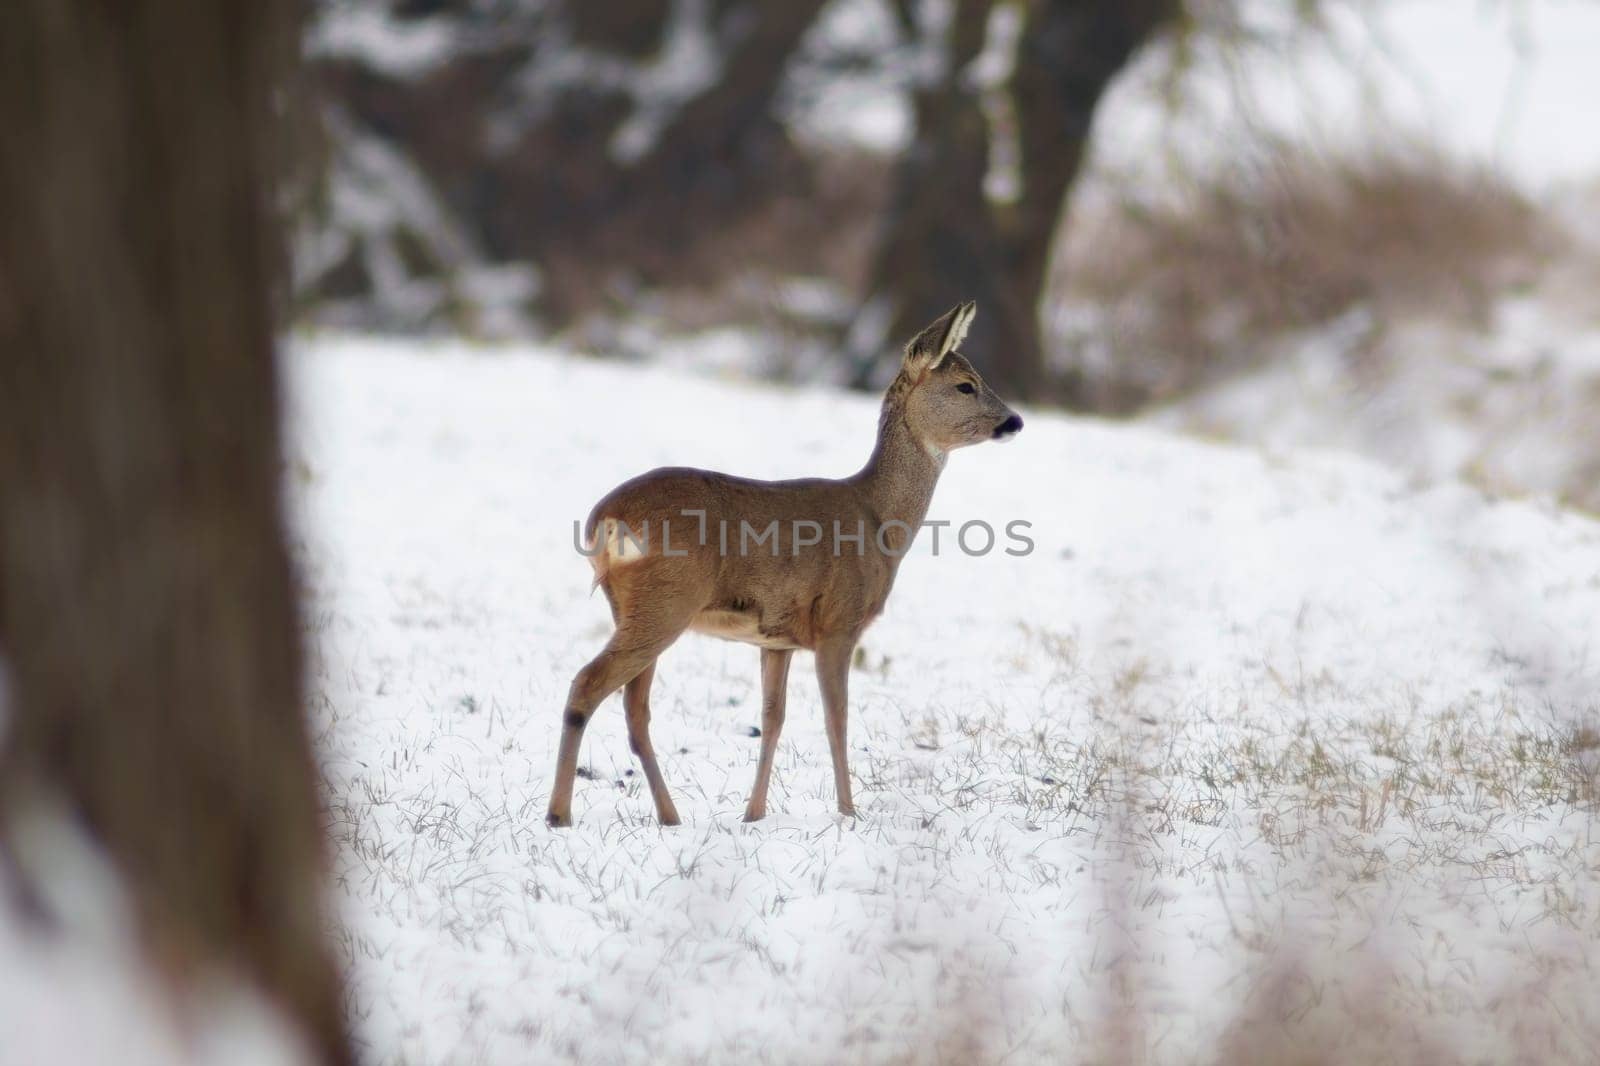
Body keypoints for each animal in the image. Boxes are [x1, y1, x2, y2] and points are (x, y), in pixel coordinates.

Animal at [547, 299, 1024, 819]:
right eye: (966, 385)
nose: (1015, 421)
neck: (878, 520)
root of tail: (605, 519)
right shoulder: (840, 622)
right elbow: (837, 718)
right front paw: (848, 813)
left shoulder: (776, 640)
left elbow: (773, 717)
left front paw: (753, 814)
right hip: (666, 601)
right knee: (587, 684)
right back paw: (559, 815)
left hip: (636, 607)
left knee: (635, 709)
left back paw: (670, 818)